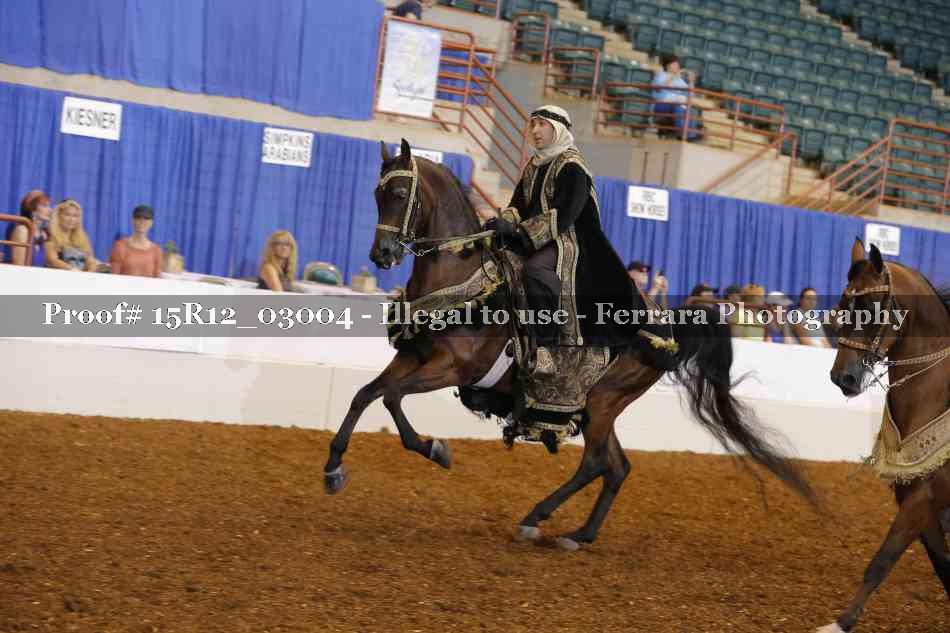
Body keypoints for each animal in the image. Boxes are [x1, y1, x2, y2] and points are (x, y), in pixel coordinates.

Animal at [323, 139, 817, 550]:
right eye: (377, 195)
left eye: (399, 194)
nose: (381, 254)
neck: (462, 281)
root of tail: (667, 329)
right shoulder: (414, 356)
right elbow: (366, 394)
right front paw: (333, 469)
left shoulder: (453, 368)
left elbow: (391, 397)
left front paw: (435, 450)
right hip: (601, 409)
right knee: (617, 467)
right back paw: (578, 534)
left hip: (601, 402)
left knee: (596, 464)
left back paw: (536, 519)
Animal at [816, 239, 950, 633]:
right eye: (843, 305)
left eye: (871, 307)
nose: (842, 377)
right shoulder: (919, 498)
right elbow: (944, 568)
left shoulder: (923, 500)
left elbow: (882, 559)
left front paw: (839, 624)